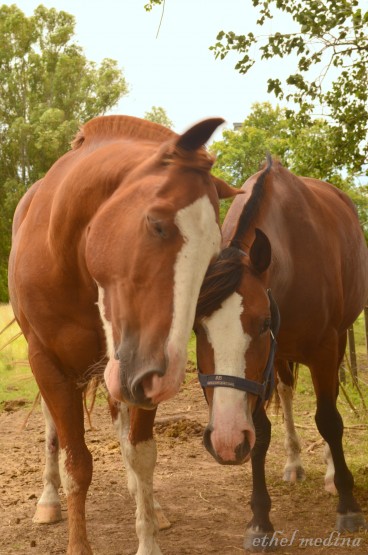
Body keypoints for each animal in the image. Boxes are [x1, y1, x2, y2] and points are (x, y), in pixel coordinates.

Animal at [9, 115, 239, 552]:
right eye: (157, 224)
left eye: (212, 254)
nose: (160, 376)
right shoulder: (49, 364)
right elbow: (77, 464)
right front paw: (77, 544)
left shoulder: (136, 374)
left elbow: (142, 453)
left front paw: (148, 536)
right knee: (52, 430)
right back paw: (48, 501)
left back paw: (150, 504)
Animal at [196, 156, 368, 552]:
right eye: (196, 328)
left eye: (262, 324)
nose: (225, 441)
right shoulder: (263, 372)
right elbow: (260, 431)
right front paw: (261, 521)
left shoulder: (323, 347)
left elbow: (329, 420)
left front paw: (348, 504)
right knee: (288, 395)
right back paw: (294, 463)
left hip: (335, 343)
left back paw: (330, 471)